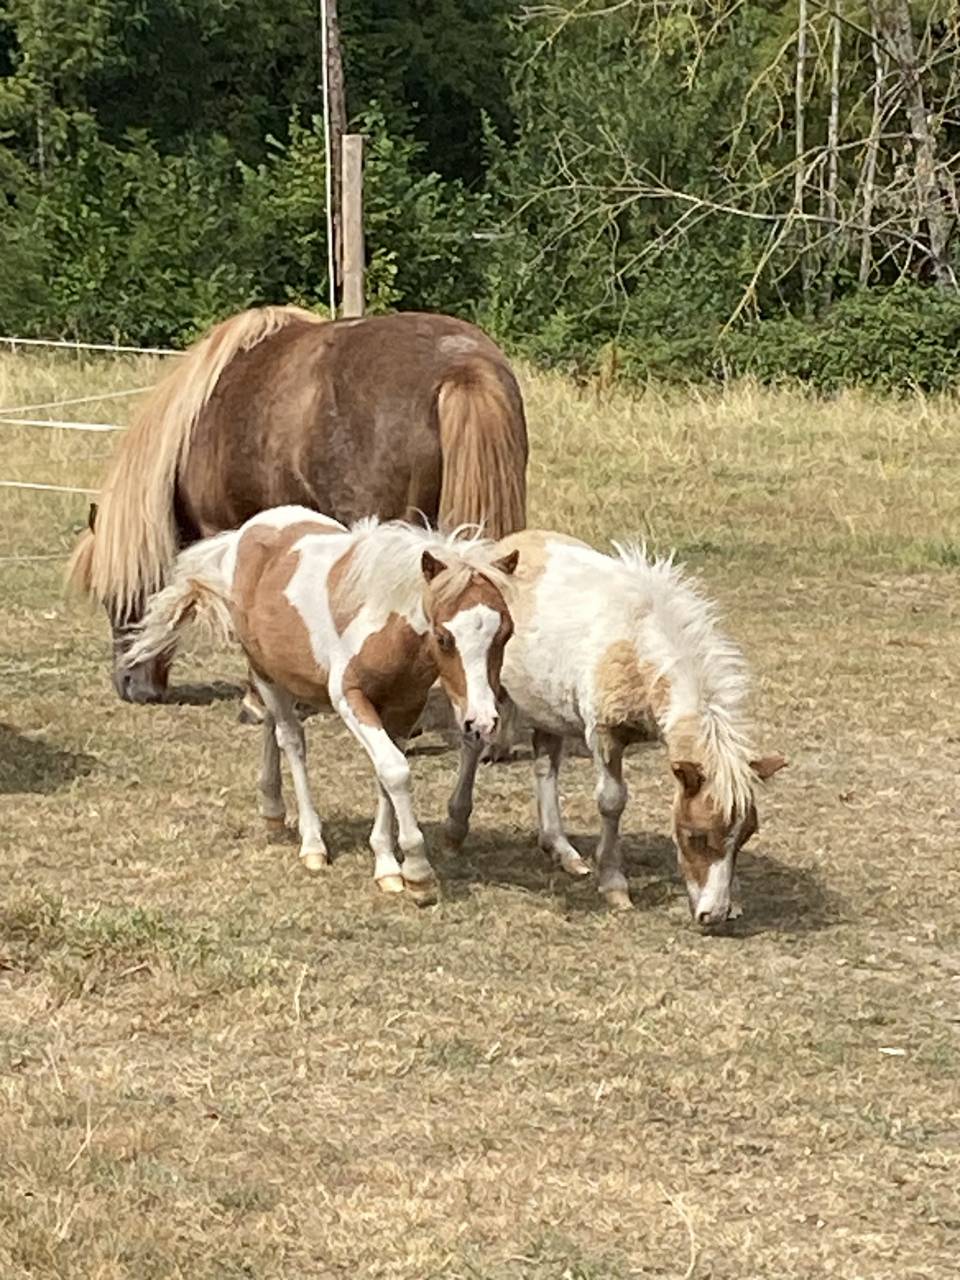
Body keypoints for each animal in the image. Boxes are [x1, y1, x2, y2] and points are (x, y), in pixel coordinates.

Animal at [122, 506, 518, 903]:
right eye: (444, 637)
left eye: (506, 633)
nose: (482, 722)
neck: (386, 620)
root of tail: (245, 532)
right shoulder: (349, 697)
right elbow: (395, 770)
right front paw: (418, 873)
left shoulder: (404, 707)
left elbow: (387, 773)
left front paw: (388, 866)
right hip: (264, 671)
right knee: (291, 740)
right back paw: (312, 843)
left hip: (280, 672)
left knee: (273, 727)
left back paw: (273, 813)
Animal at [443, 531, 786, 924]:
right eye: (694, 835)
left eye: (745, 835)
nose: (712, 915)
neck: (638, 643)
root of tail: (496, 550)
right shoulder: (604, 734)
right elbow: (611, 801)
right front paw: (613, 884)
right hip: (484, 688)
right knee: (473, 742)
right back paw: (455, 830)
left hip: (546, 703)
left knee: (545, 766)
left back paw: (561, 849)